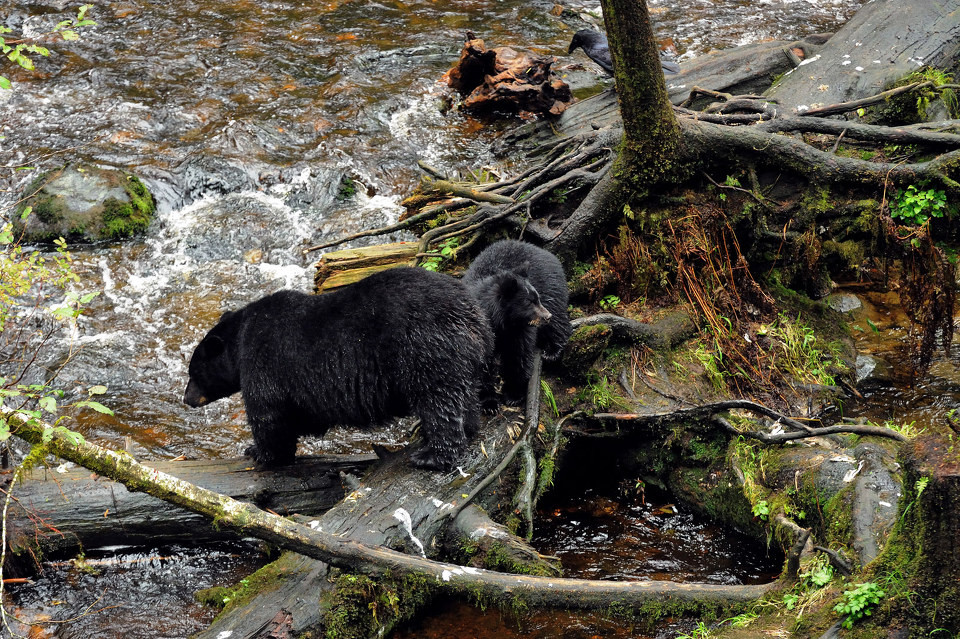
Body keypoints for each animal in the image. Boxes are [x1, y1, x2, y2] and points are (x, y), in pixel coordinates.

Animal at [183, 268, 492, 472]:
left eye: (193, 373)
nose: (186, 399)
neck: (241, 338)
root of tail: (470, 311)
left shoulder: (264, 359)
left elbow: (268, 413)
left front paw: (259, 452)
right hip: (462, 355)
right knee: (463, 394)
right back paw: (468, 427)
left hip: (422, 347)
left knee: (436, 399)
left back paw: (432, 456)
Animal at [464, 240, 568, 404]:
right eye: (529, 302)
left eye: (536, 299)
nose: (547, 316)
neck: (502, 323)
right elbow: (483, 363)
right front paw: (489, 400)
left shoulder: (520, 330)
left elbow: (519, 354)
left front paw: (513, 394)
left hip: (551, 289)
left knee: (558, 320)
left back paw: (552, 351)